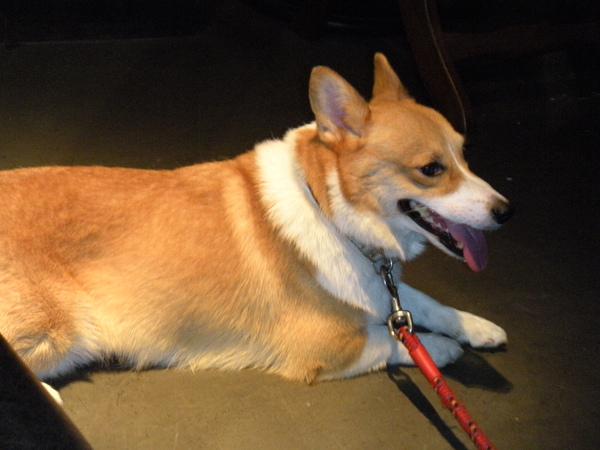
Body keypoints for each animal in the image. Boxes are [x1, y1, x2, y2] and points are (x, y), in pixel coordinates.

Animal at [0, 54, 511, 405]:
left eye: (465, 154)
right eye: (430, 169)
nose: (506, 211)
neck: (327, 209)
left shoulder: (381, 289)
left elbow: (421, 304)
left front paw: (477, 328)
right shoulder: (324, 345)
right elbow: (392, 340)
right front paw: (442, 350)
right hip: (61, 330)